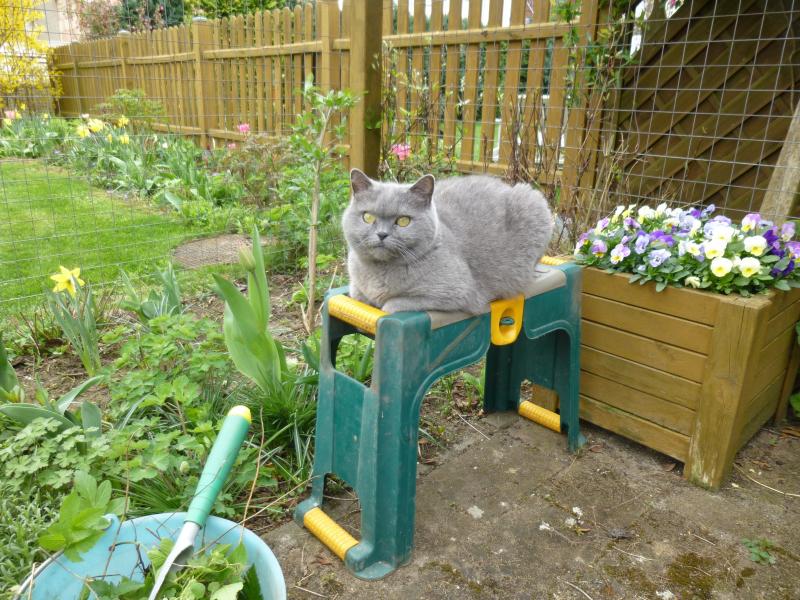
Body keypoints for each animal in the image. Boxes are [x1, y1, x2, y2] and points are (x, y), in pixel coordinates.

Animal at [341, 169, 553, 315]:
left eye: (403, 221)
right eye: (368, 217)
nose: (382, 234)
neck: (378, 272)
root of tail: (505, 184)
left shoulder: (457, 292)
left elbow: (392, 305)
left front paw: (384, 304)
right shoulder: (356, 289)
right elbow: (357, 295)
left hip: (535, 203)